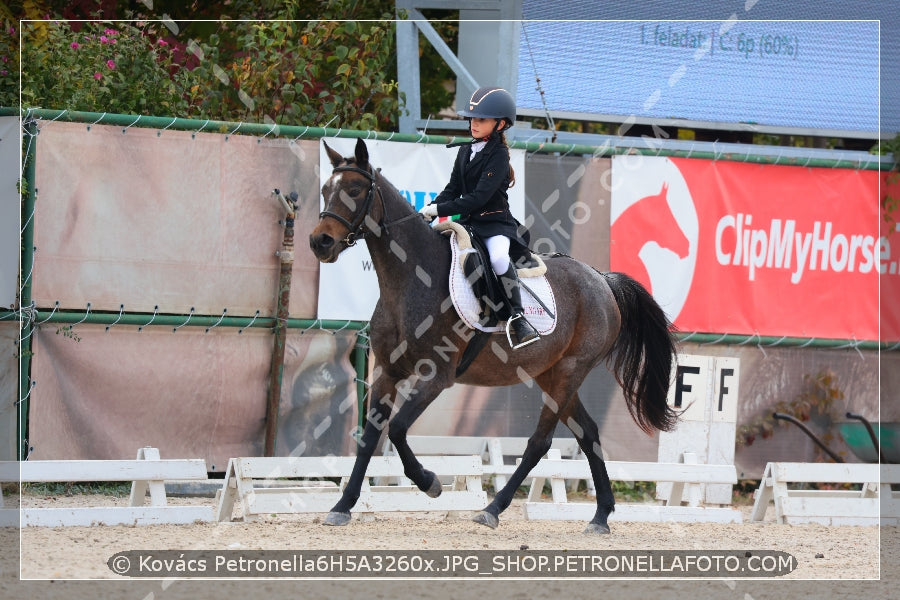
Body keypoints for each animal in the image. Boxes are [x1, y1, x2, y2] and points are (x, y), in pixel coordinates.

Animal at [306, 138, 680, 532]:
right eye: (325, 190)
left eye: (355, 189)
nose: (320, 242)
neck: (409, 280)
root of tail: (601, 279)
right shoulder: (387, 372)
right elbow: (370, 437)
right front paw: (343, 505)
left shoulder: (436, 376)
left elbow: (397, 429)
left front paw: (430, 483)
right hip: (552, 374)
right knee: (589, 433)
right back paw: (601, 515)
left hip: (570, 371)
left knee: (540, 442)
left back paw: (493, 508)